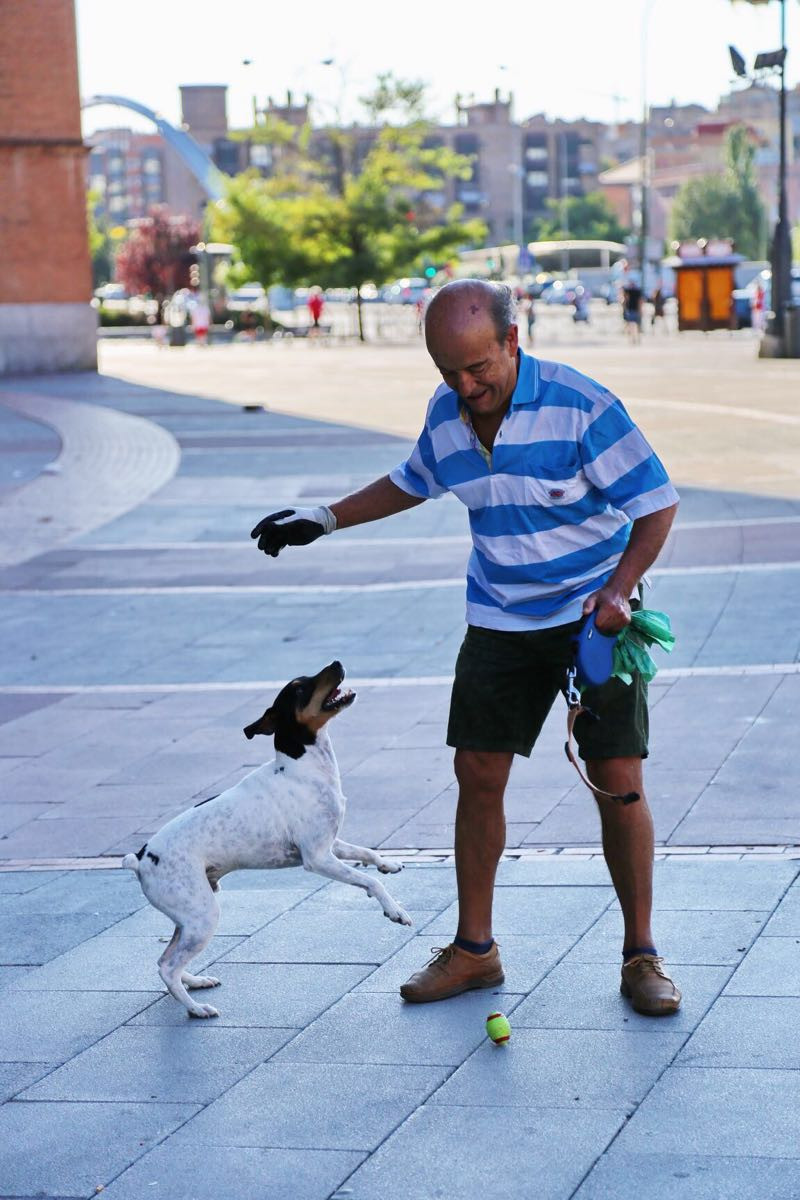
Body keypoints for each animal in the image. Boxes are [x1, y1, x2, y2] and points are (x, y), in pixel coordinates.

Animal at [125, 662, 412, 1017]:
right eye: (301, 688)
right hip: (202, 915)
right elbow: (371, 882)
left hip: (188, 918)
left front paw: (389, 864)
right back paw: (196, 1008)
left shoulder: (331, 845)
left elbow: (368, 854)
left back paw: (195, 981)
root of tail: (140, 859)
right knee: (168, 967)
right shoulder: (317, 858)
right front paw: (395, 910)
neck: (302, 767)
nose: (337, 663)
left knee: (167, 959)